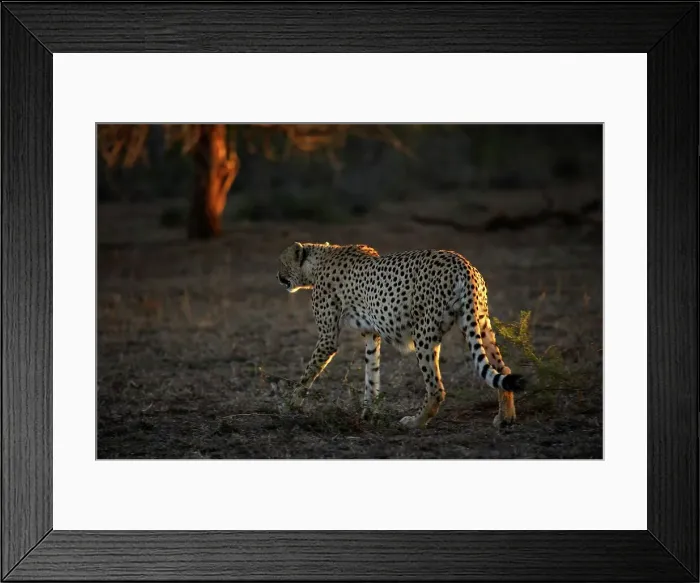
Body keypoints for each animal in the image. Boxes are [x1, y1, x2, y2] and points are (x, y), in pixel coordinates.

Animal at [270, 241, 526, 429]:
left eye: (281, 262)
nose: (277, 276)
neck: (317, 262)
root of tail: (463, 263)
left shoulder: (327, 338)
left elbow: (307, 376)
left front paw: (289, 405)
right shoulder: (371, 334)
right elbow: (371, 373)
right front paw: (368, 412)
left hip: (424, 333)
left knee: (436, 388)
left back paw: (414, 422)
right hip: (479, 323)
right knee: (503, 369)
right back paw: (506, 417)